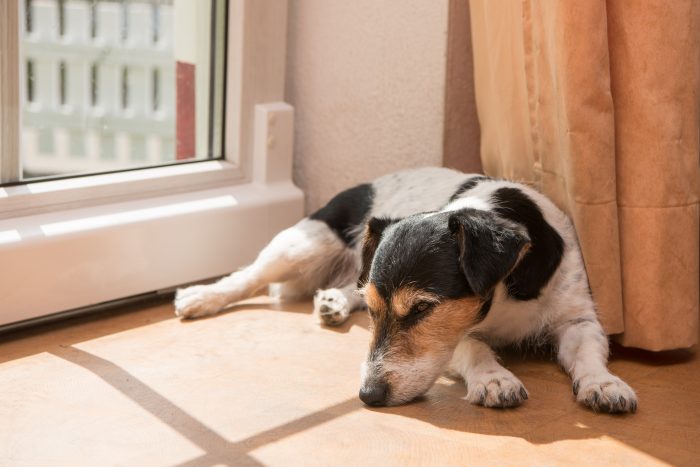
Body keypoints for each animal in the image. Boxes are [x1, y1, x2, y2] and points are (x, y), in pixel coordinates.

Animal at [176, 167, 640, 414]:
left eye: (420, 309)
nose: (367, 396)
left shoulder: (579, 318)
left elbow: (588, 354)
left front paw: (604, 384)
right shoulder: (452, 338)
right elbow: (473, 346)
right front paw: (494, 377)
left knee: (348, 284)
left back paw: (333, 301)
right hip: (302, 245)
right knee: (248, 275)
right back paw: (200, 297)